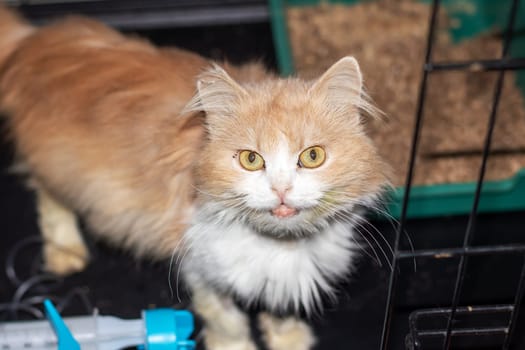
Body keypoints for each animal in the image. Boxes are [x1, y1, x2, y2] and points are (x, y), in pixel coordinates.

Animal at [1, 5, 388, 350]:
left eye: (312, 156)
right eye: (251, 160)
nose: (281, 189)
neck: (281, 243)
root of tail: (35, 40)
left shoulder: (284, 278)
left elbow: (280, 308)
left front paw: (289, 340)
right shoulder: (198, 266)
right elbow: (226, 320)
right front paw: (235, 347)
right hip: (59, 169)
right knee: (47, 198)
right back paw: (65, 252)